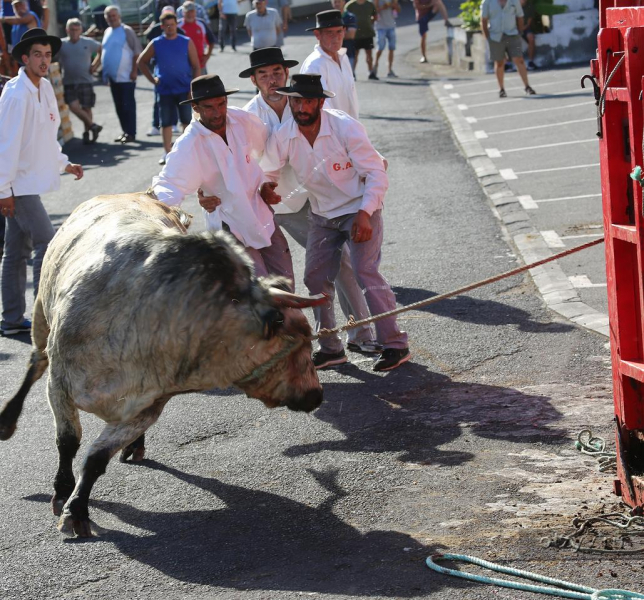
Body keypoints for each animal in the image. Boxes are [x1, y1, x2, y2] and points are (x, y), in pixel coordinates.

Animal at [0, 195, 322, 536]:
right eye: (298, 340)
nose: (316, 395)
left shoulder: (147, 407)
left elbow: (97, 458)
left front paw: (77, 509)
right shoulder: (59, 384)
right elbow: (68, 442)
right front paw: (62, 493)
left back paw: (135, 446)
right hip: (40, 314)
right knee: (35, 363)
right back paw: (7, 420)